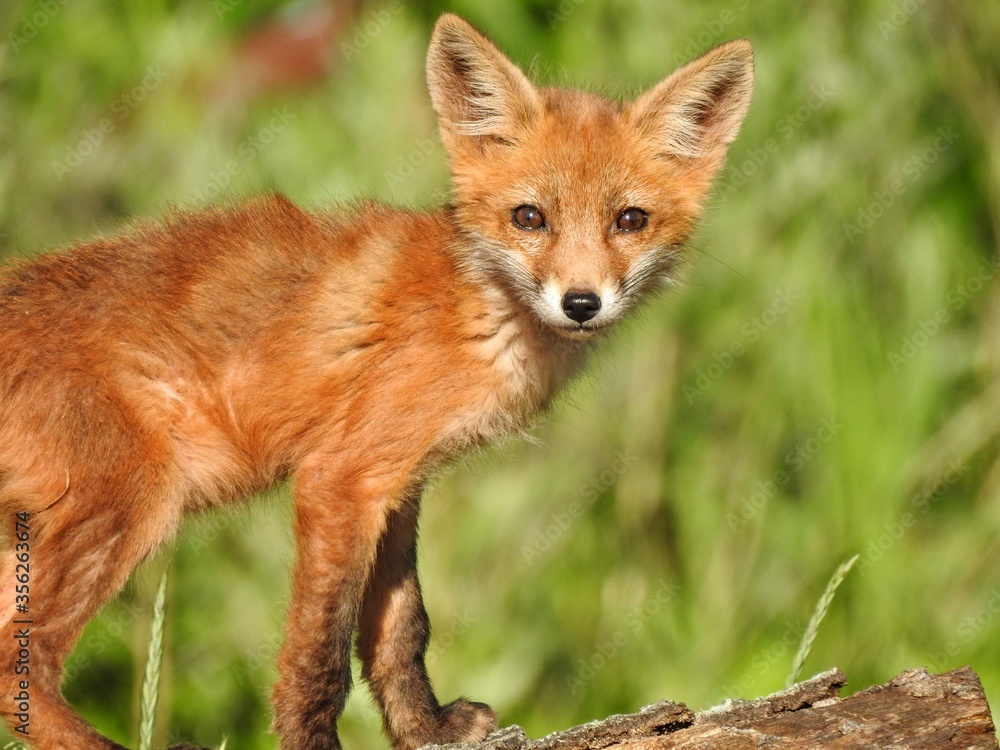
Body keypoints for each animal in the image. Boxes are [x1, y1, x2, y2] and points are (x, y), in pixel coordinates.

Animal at [0, 12, 753, 750]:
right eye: (529, 218)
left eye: (630, 220)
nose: (581, 303)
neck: (474, 313)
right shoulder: (338, 480)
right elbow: (321, 656)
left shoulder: (397, 483)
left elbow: (402, 629)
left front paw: (428, 730)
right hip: (131, 507)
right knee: (19, 661)